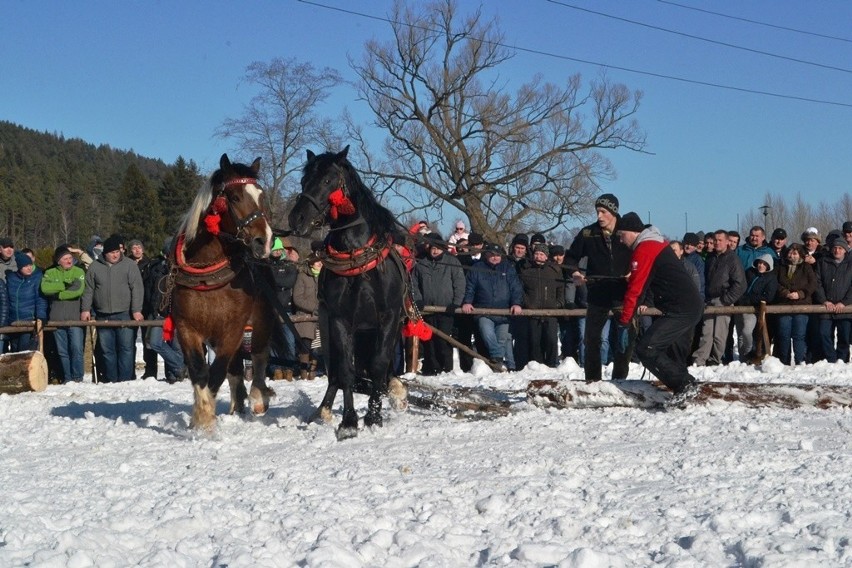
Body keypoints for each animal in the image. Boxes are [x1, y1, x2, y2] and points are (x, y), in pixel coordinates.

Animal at [166, 153, 272, 428]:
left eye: (261, 195)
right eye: (233, 197)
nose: (264, 241)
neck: (208, 275)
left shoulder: (233, 329)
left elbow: (216, 373)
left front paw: (205, 422)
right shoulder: (187, 329)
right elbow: (199, 372)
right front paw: (200, 418)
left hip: (260, 323)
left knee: (258, 356)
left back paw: (257, 398)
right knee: (235, 370)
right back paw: (237, 406)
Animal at [290, 145, 410, 440]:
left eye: (327, 180)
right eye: (304, 180)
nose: (297, 218)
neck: (357, 260)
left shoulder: (388, 317)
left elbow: (378, 365)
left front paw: (375, 416)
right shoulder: (340, 319)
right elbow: (346, 370)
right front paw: (348, 422)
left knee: (382, 367)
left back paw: (394, 391)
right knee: (335, 370)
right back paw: (322, 410)